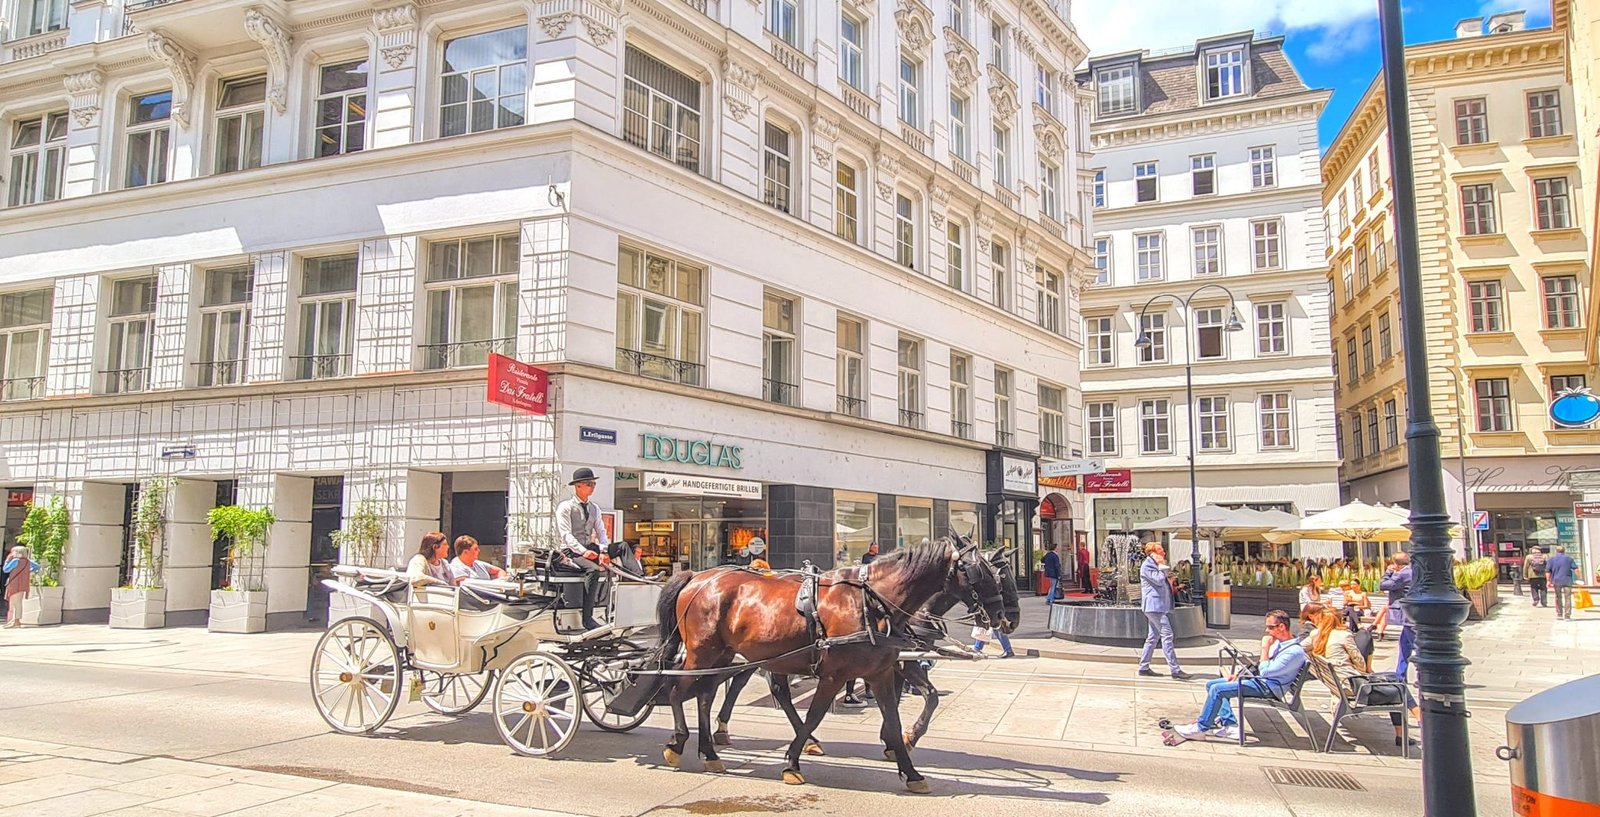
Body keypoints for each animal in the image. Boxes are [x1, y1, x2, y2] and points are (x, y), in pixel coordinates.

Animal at [646, 540, 998, 796]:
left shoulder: (881, 673)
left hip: (721, 655)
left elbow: (893, 719)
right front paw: (792, 762)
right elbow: (814, 715)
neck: (870, 604)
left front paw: (910, 770)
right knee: (676, 689)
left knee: (705, 696)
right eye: (980, 573)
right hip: (702, 653)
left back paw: (710, 753)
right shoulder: (834, 674)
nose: (1000, 618)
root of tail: (698, 576)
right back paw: (677, 743)